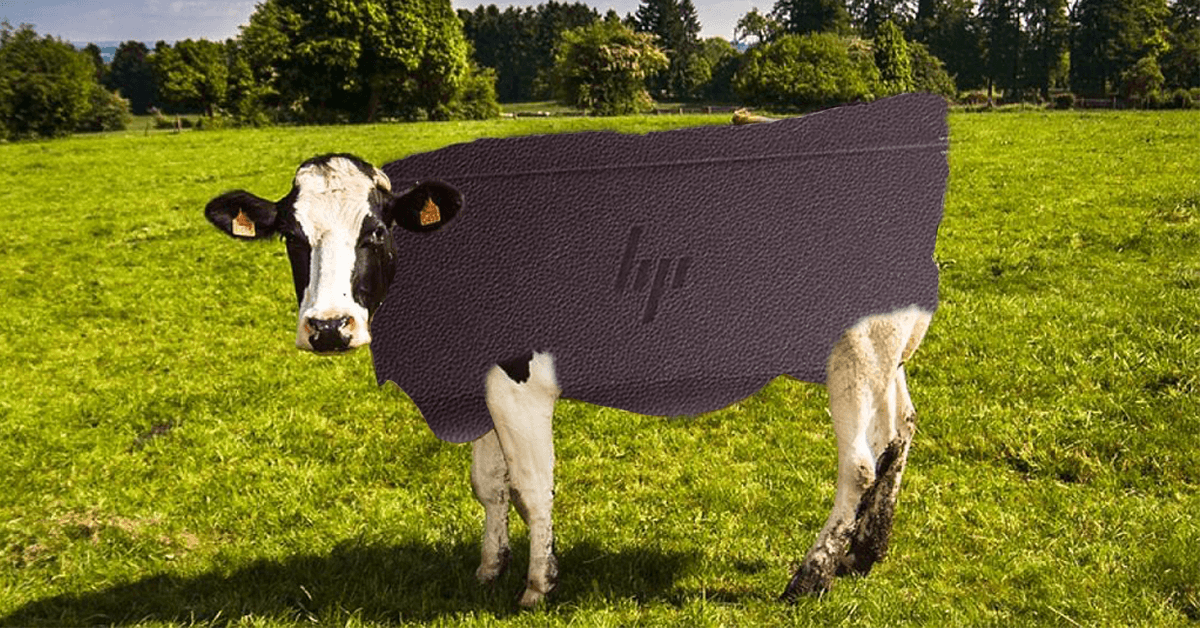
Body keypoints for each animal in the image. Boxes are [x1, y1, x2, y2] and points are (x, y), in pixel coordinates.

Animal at [202, 94, 947, 607]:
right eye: (293, 237)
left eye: (377, 230)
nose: (329, 327)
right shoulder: (471, 381)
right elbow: (490, 484)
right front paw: (489, 568)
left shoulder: (518, 379)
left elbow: (533, 485)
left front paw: (538, 584)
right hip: (886, 351)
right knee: (899, 434)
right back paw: (864, 552)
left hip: (855, 350)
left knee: (858, 462)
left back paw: (811, 575)